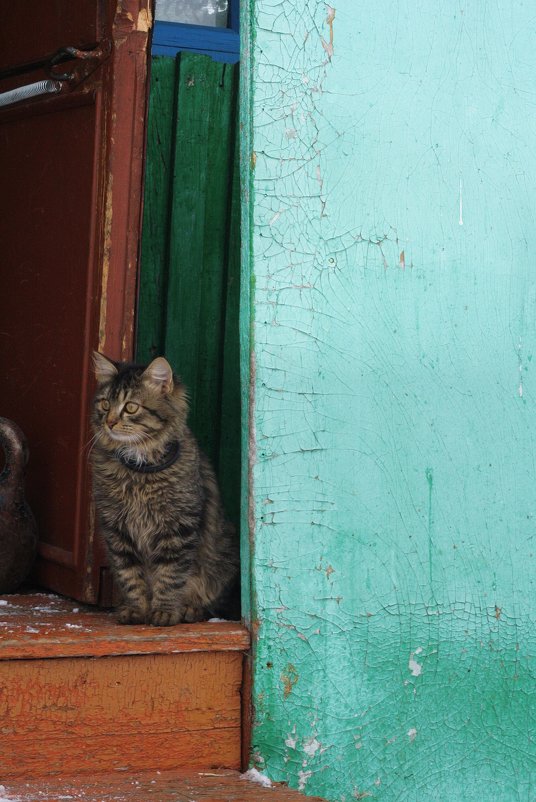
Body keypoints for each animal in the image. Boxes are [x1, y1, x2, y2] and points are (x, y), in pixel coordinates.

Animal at [89, 352, 237, 624]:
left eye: (131, 407)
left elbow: (170, 576)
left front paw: (164, 612)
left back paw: (190, 610)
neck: (139, 471)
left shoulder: (178, 528)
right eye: (104, 404)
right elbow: (130, 576)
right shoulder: (116, 529)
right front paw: (136, 610)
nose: (110, 423)